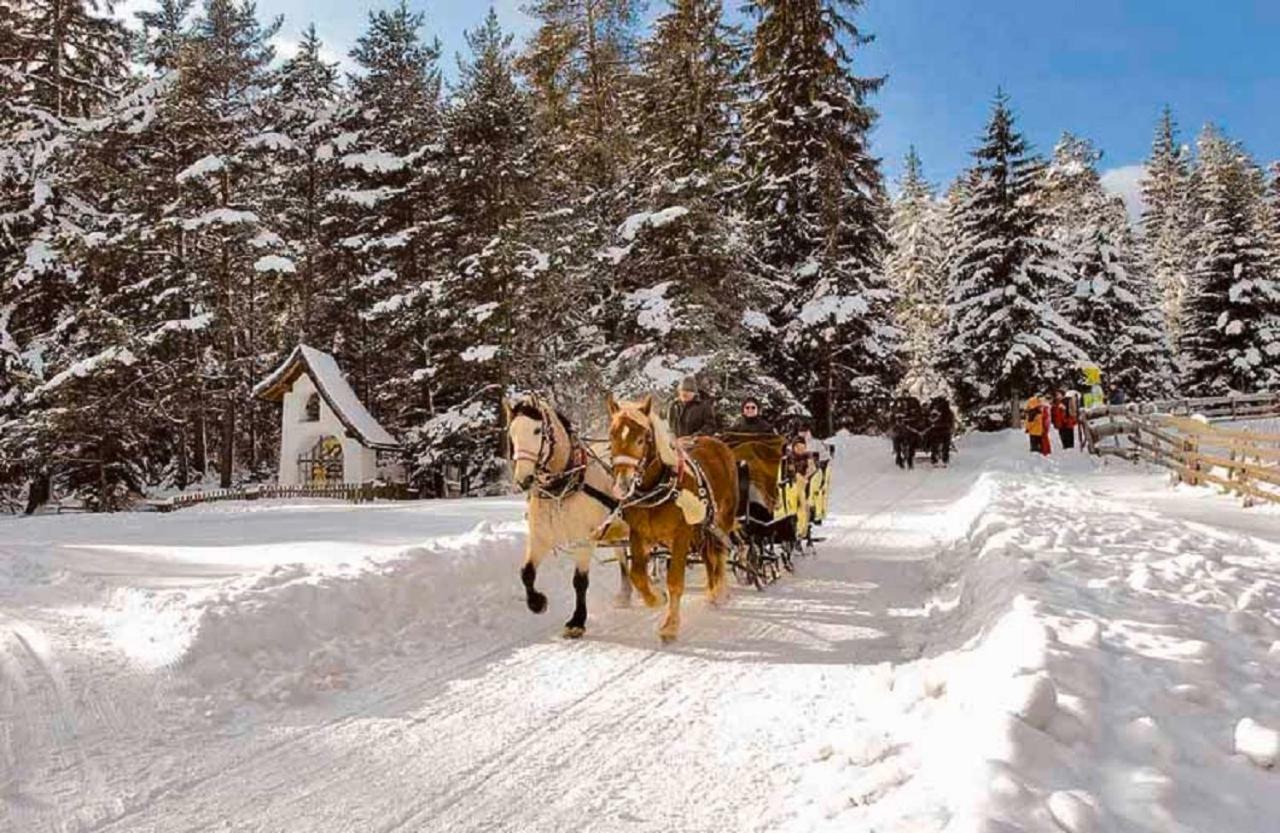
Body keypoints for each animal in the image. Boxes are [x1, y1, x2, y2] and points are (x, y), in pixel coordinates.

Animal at [506, 394, 632, 634]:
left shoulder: (584, 539)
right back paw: (625, 594)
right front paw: (537, 603)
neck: (561, 488)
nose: (523, 480)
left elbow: (579, 582)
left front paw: (577, 621)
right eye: (512, 432)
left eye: (537, 430)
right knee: (623, 555)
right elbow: (526, 573)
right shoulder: (540, 537)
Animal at [606, 394, 742, 642]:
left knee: (720, 553)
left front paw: (670, 625)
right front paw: (656, 598)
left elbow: (675, 581)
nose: (622, 485)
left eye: (642, 439)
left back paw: (720, 591)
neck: (656, 489)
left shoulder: (681, 536)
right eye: (612, 436)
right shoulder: (639, 535)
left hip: (722, 520)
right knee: (709, 556)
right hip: (702, 530)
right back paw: (711, 591)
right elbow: (637, 574)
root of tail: (719, 445)